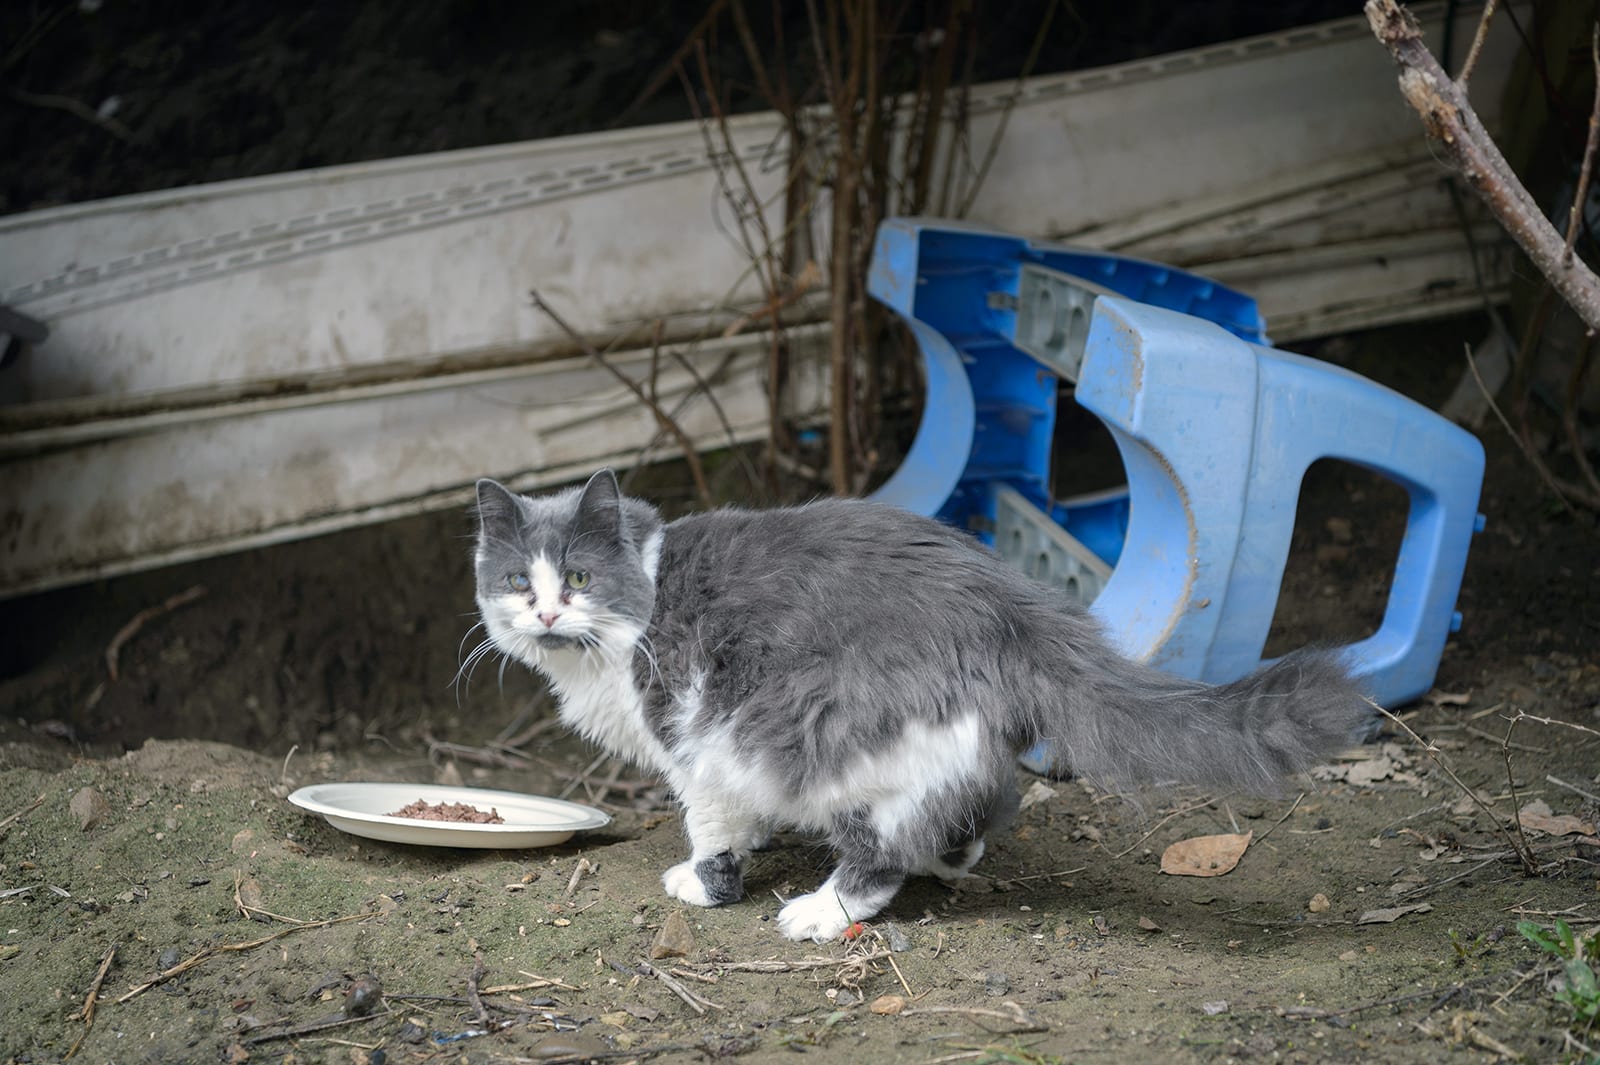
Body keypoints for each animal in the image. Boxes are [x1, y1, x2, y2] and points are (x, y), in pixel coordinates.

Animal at [467, 466, 1369, 940]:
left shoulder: (698, 739)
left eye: (578, 577)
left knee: (882, 851)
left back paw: (820, 910)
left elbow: (714, 826)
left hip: (824, 729)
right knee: (970, 805)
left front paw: (707, 881)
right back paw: (949, 858)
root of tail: (1008, 601)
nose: (545, 614)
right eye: (516, 580)